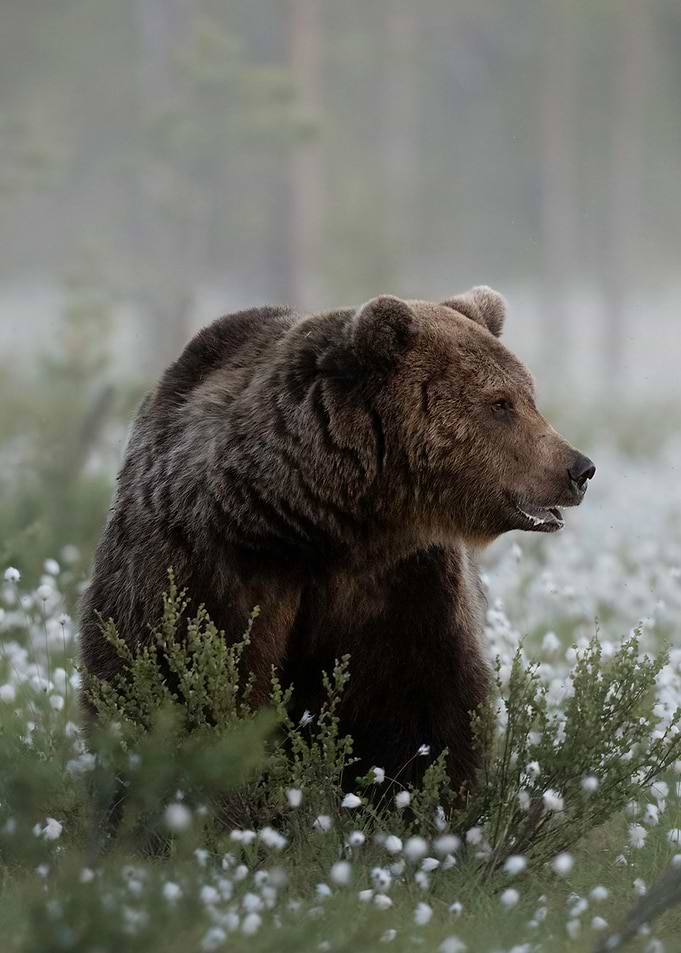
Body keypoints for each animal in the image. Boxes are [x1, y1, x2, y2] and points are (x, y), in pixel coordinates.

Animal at [79, 286, 595, 796]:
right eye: (500, 403)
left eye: (529, 395)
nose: (579, 468)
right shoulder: (217, 568)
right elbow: (188, 681)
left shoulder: (404, 583)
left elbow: (419, 704)